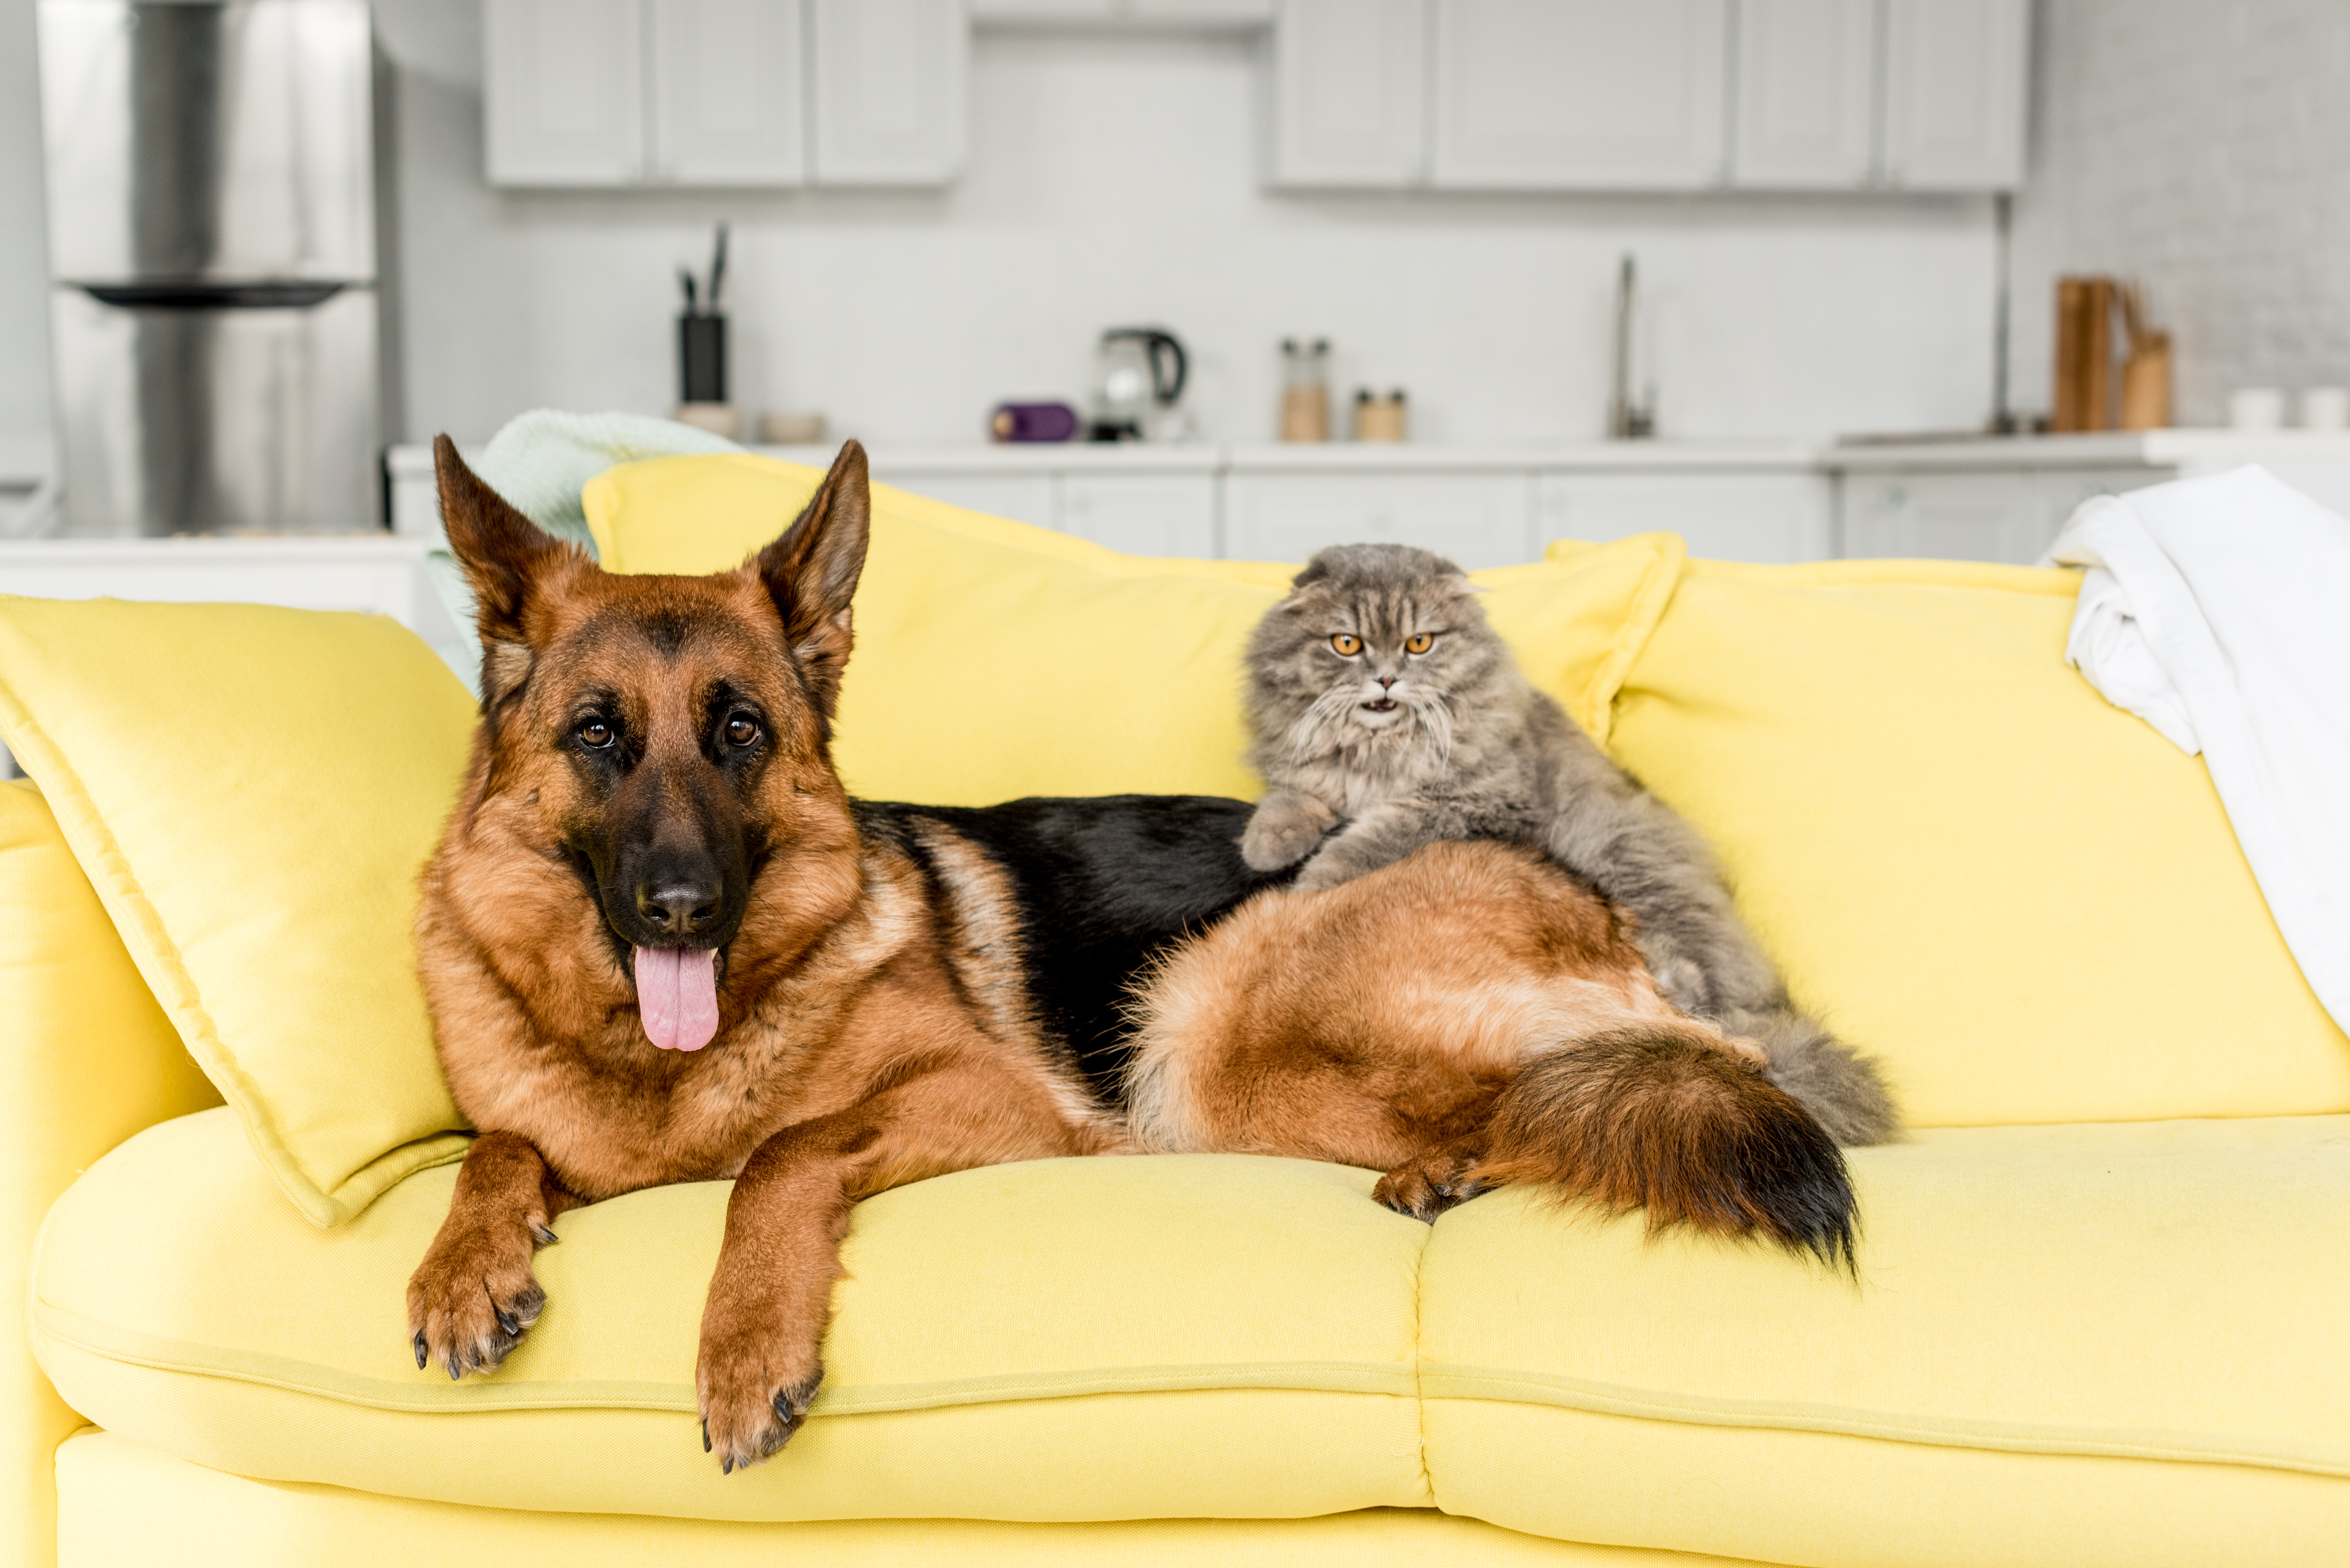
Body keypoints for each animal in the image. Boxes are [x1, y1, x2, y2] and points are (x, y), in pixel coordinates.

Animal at [1241, 545, 1899, 1147]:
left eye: (1420, 643)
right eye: (1346, 644)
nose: (1385, 678)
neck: (1378, 749)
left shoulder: (1475, 801)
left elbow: (1371, 835)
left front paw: (1312, 882)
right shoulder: (1315, 779)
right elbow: (1296, 799)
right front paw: (1264, 845)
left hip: (1623, 866)